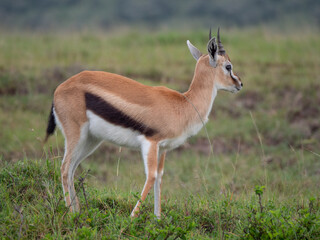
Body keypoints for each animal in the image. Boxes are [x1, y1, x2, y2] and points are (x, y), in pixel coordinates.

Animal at [45, 28, 242, 218]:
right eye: (228, 66)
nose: (239, 84)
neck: (183, 104)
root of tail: (59, 89)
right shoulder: (151, 142)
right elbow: (152, 176)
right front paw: (132, 218)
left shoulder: (163, 148)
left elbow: (160, 177)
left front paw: (157, 218)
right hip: (76, 135)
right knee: (64, 168)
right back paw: (71, 215)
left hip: (91, 140)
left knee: (71, 169)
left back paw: (77, 211)